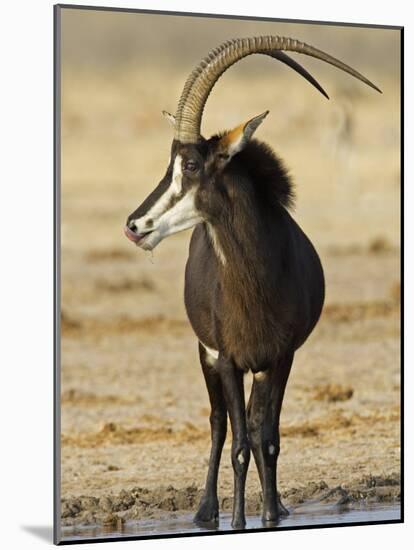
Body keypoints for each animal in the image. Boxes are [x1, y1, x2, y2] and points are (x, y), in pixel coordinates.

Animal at [123, 37, 382, 532]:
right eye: (170, 164)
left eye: (190, 164)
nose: (134, 225)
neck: (255, 281)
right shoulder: (226, 360)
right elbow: (239, 444)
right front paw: (239, 521)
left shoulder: (279, 359)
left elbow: (268, 439)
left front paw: (269, 515)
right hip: (207, 356)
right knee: (220, 423)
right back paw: (206, 511)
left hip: (259, 367)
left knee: (259, 427)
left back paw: (273, 504)